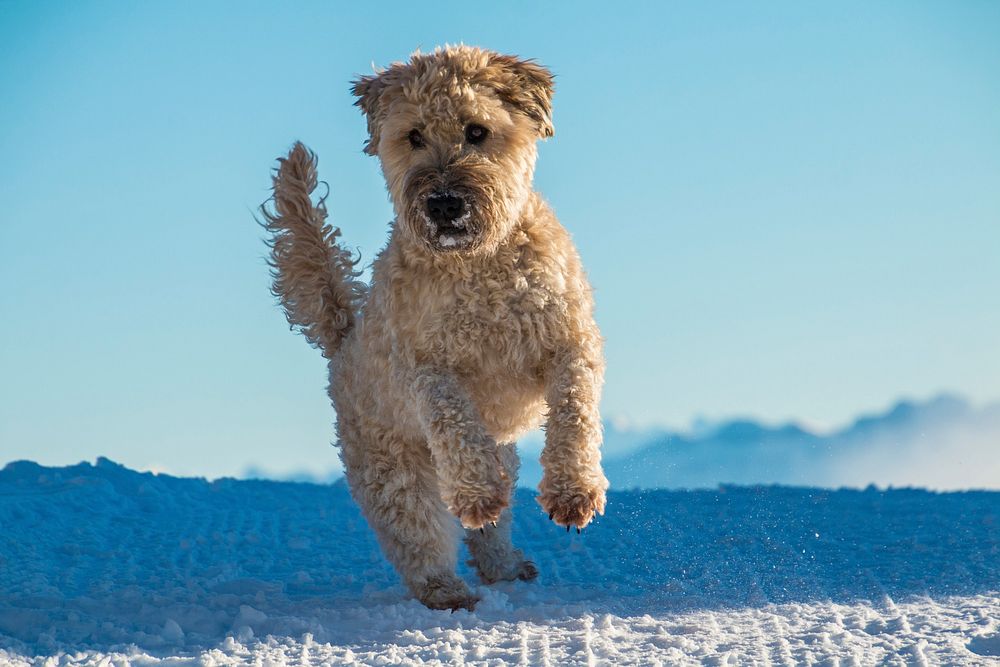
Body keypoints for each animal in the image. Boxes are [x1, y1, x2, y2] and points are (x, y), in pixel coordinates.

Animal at [262, 45, 608, 612]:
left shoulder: (570, 342)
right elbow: (454, 421)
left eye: (476, 130)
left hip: (495, 450)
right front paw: (476, 495)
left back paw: (505, 563)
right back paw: (448, 587)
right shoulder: (426, 368)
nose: (444, 203)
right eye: (413, 135)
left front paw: (573, 492)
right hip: (392, 467)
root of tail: (345, 339)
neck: (478, 265)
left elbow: (574, 411)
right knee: (418, 532)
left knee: (491, 528)